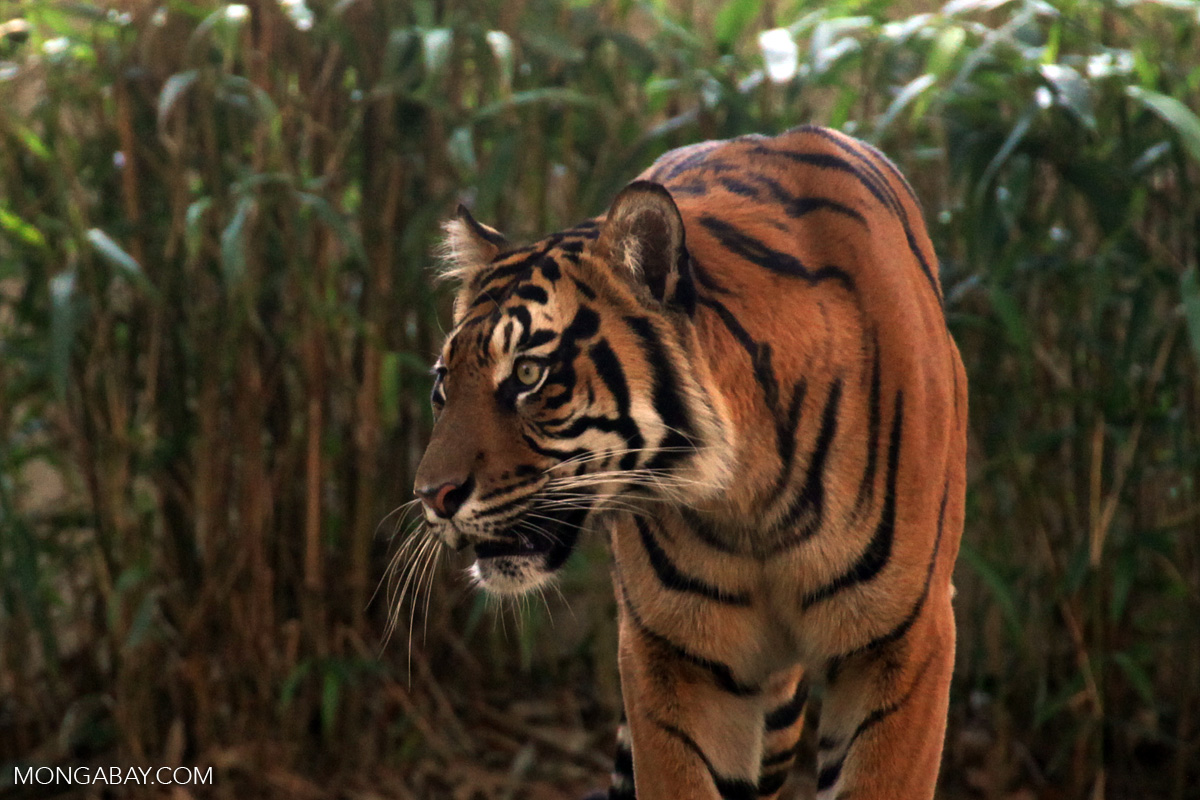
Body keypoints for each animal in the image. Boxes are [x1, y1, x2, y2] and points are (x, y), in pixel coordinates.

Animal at [410, 126, 964, 800]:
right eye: (444, 383)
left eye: (527, 374)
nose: (431, 495)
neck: (747, 496)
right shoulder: (677, 660)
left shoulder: (902, 644)